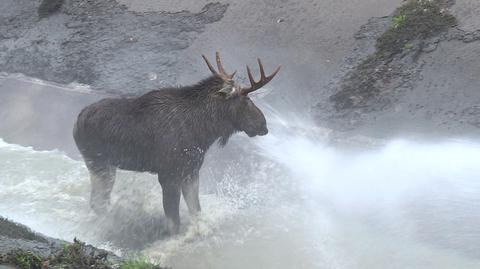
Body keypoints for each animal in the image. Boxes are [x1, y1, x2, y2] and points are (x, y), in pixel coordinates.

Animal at [73, 51, 280, 233]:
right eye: (246, 100)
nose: (263, 125)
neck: (204, 132)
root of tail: (76, 123)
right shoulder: (168, 175)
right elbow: (174, 222)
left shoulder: (191, 172)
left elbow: (196, 212)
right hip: (99, 163)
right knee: (97, 202)